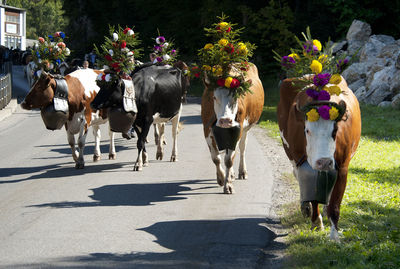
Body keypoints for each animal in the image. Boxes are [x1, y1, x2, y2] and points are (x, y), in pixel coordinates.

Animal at [202, 62, 264, 193]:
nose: (225, 120)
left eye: (236, 97)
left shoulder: (238, 130)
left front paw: (228, 184)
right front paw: (221, 178)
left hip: (245, 129)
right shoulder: (206, 129)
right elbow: (216, 158)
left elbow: (229, 159)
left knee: (242, 148)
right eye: (214, 97)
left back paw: (241, 172)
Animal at [276, 74, 360, 240]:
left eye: (335, 131)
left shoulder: (342, 167)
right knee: (297, 174)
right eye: (307, 130)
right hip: (291, 154)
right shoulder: (306, 165)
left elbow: (335, 205)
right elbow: (313, 196)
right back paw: (305, 207)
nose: (324, 162)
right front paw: (316, 222)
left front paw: (334, 236)